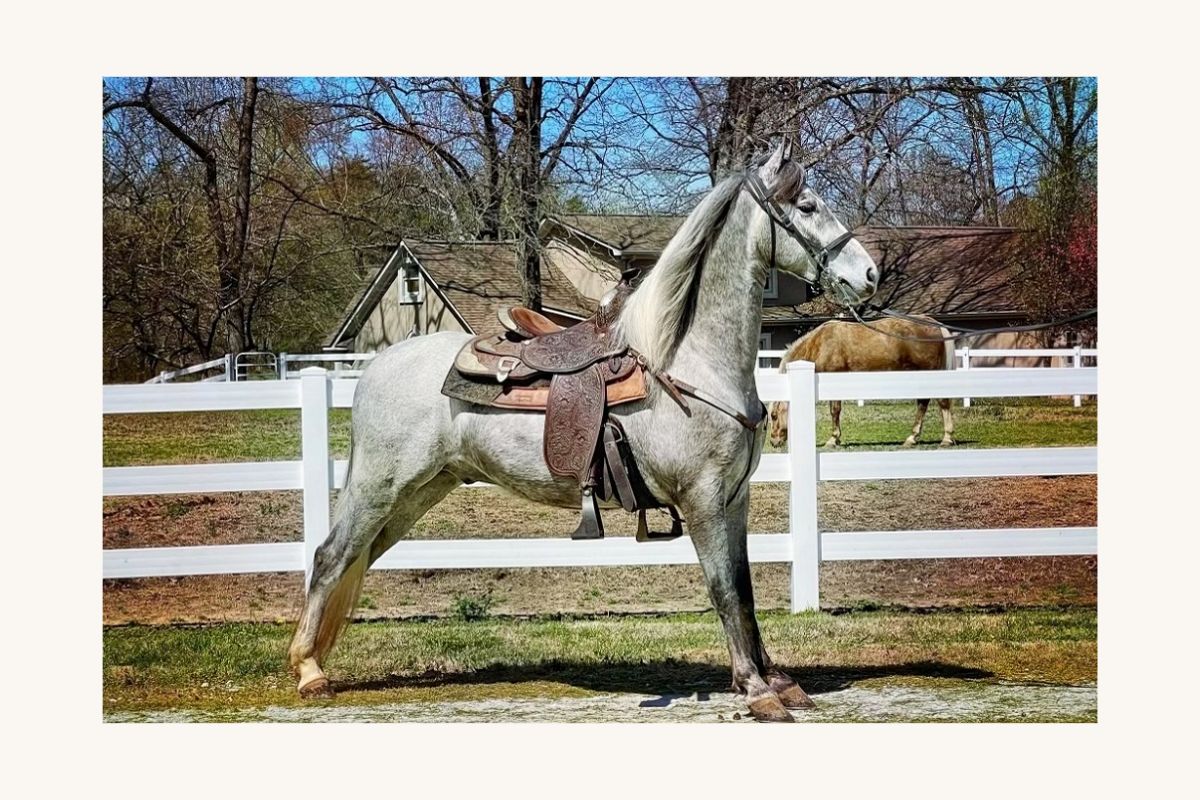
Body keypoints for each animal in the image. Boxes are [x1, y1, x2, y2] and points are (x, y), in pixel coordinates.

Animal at [287, 142, 880, 723]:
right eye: (808, 206)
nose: (870, 274)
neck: (686, 363)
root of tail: (375, 367)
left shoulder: (734, 500)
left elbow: (747, 590)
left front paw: (777, 681)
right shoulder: (704, 500)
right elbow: (725, 591)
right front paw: (756, 691)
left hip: (420, 489)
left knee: (359, 555)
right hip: (379, 486)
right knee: (330, 556)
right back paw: (309, 670)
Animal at [767, 315, 957, 449]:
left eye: (774, 415)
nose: (774, 442)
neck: (820, 344)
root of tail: (933, 323)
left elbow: (835, 411)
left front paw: (833, 439)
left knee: (941, 403)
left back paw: (946, 438)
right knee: (923, 404)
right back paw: (912, 438)